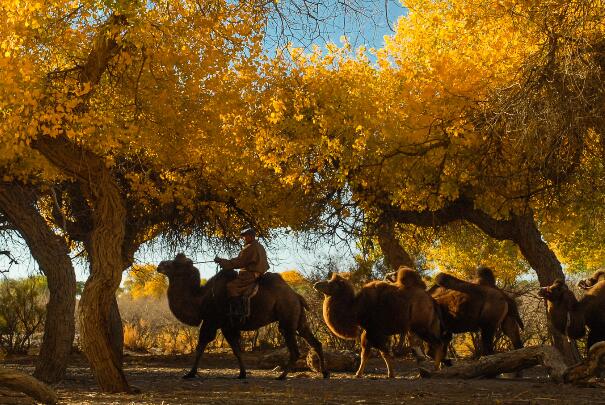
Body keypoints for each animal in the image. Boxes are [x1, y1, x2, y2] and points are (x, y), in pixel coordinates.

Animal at [155, 252, 326, 378]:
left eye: (176, 263)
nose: (160, 265)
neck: (201, 298)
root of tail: (296, 296)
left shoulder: (212, 322)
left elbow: (201, 346)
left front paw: (190, 373)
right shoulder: (227, 326)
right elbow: (236, 350)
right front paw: (242, 374)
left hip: (287, 318)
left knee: (294, 349)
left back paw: (282, 376)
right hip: (299, 318)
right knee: (314, 341)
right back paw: (325, 373)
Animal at [312, 266, 444, 378]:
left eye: (331, 283)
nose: (316, 284)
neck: (356, 309)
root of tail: (431, 300)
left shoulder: (375, 332)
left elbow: (382, 353)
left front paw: (390, 374)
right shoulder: (369, 332)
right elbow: (366, 354)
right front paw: (359, 374)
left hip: (421, 327)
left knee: (438, 343)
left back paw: (435, 369)